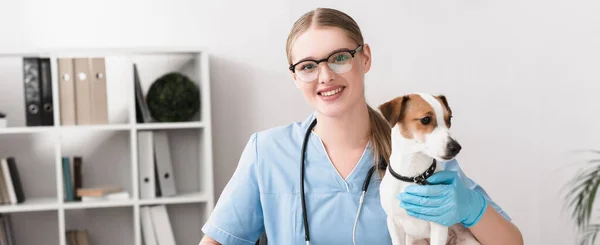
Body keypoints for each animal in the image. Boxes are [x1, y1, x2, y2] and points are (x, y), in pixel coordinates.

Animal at [378, 93, 480, 245]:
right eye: (425, 119)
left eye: (449, 119)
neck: (413, 175)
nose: (456, 147)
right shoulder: (393, 223)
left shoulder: (439, 224)